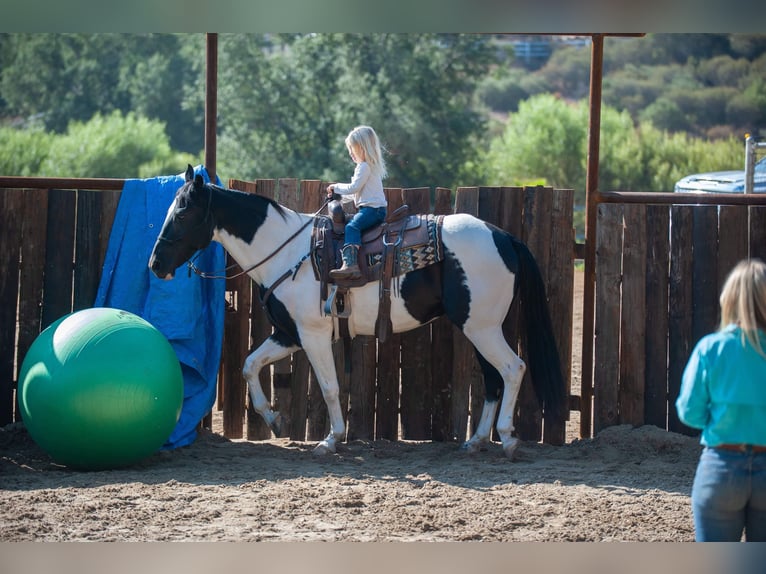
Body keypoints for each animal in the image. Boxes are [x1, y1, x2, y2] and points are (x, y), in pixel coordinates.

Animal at [150, 165, 568, 460]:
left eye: (183, 214)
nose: (155, 264)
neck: (286, 251)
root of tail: (505, 237)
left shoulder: (314, 334)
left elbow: (331, 386)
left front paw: (331, 439)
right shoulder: (289, 334)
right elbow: (250, 364)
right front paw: (274, 420)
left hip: (483, 328)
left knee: (513, 369)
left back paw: (509, 440)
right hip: (480, 328)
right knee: (494, 380)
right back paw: (477, 441)